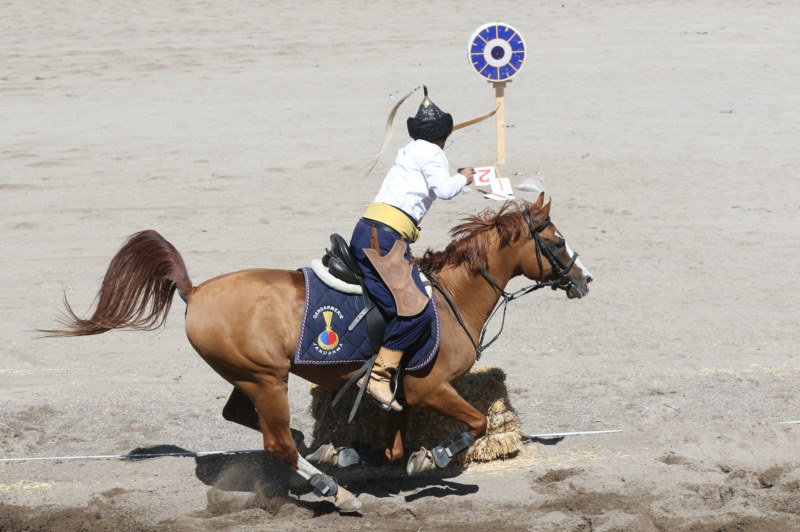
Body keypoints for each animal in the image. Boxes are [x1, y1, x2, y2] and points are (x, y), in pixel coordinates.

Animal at [45, 194, 592, 512]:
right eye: (558, 240)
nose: (584, 279)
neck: (449, 295)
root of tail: (195, 291)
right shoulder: (431, 388)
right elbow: (474, 425)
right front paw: (433, 456)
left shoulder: (403, 395)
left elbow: (393, 444)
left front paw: (380, 453)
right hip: (266, 379)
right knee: (276, 443)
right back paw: (335, 491)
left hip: (250, 378)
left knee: (253, 422)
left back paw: (323, 453)